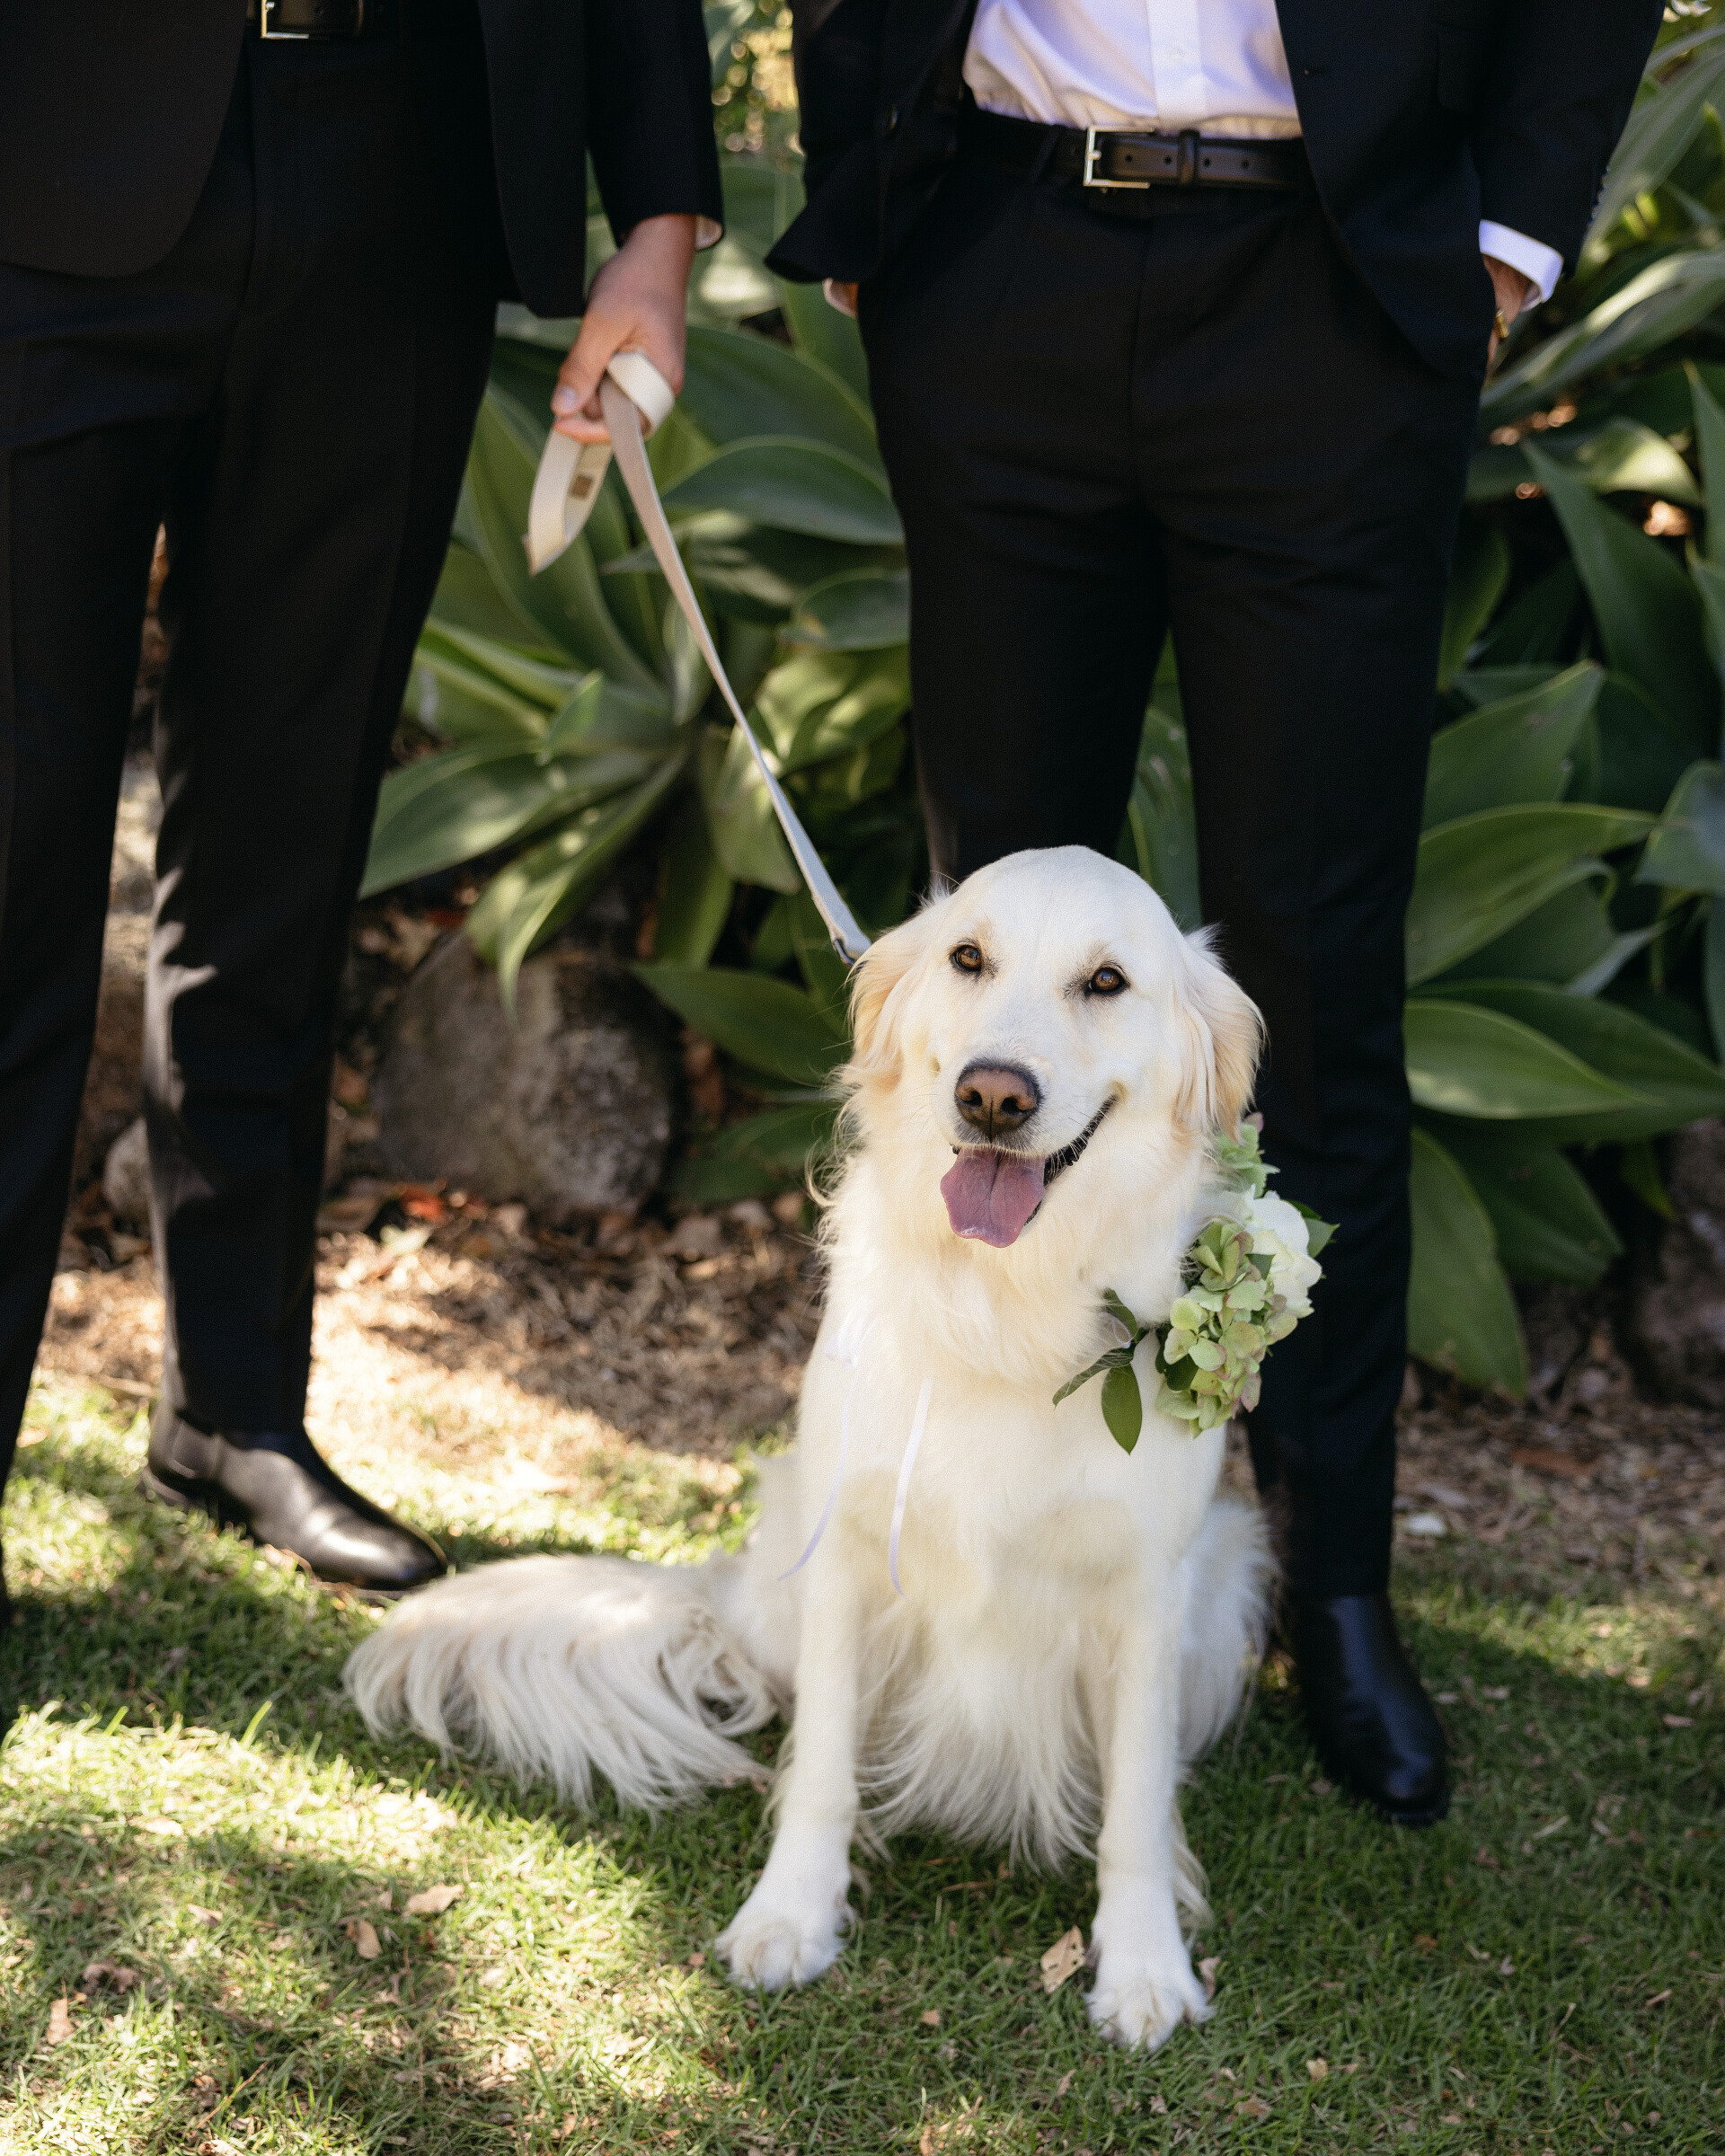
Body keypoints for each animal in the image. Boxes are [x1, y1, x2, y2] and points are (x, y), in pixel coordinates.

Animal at [346, 844, 1274, 2050]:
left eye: (1107, 982)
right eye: (968, 958)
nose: (992, 1094)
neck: (1007, 1308)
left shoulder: (1150, 1597)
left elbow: (1136, 1804)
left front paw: (1145, 1964)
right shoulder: (847, 1561)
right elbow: (824, 1765)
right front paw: (790, 1916)